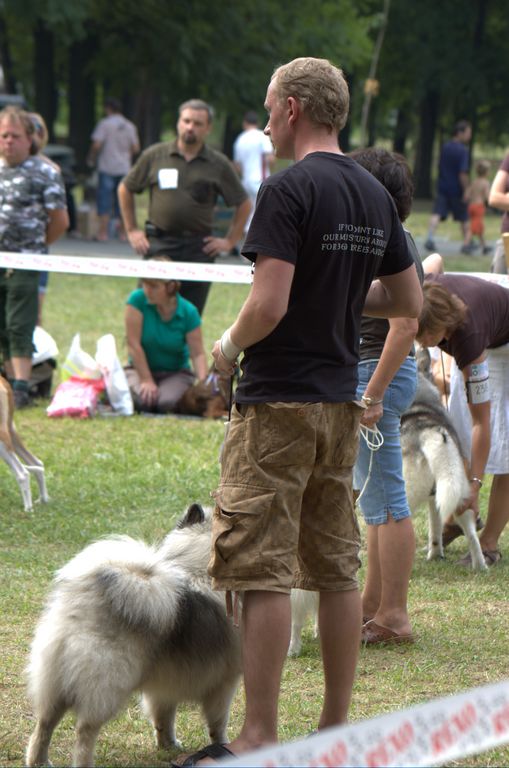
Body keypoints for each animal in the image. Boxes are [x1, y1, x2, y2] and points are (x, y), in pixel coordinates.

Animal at [26, 504, 242, 768]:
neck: (196, 566)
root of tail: (83, 609)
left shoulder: (165, 684)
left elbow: (164, 718)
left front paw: (168, 746)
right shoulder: (224, 683)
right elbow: (217, 723)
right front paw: (222, 746)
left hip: (54, 679)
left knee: (44, 723)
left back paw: (38, 760)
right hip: (106, 686)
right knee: (84, 731)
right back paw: (82, 761)